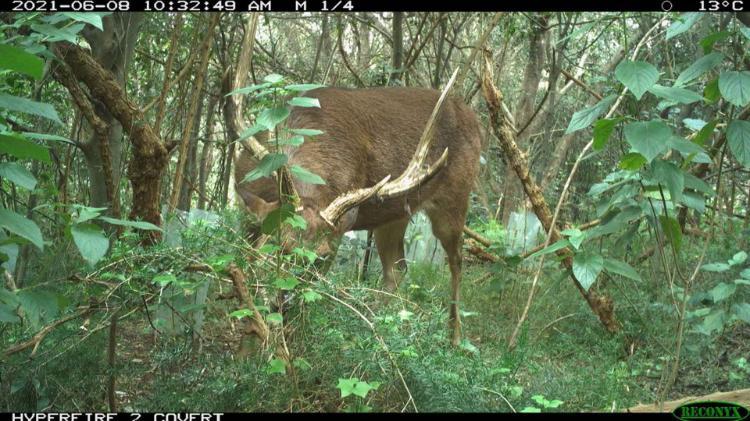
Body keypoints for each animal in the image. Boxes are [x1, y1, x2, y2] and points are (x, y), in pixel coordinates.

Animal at [226, 69, 482, 344]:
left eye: (321, 257)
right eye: (279, 246)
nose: (282, 300)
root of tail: (474, 119)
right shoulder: (247, 214)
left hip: (456, 197)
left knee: (456, 261)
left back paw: (454, 338)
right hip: (394, 215)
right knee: (397, 268)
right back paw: (378, 326)